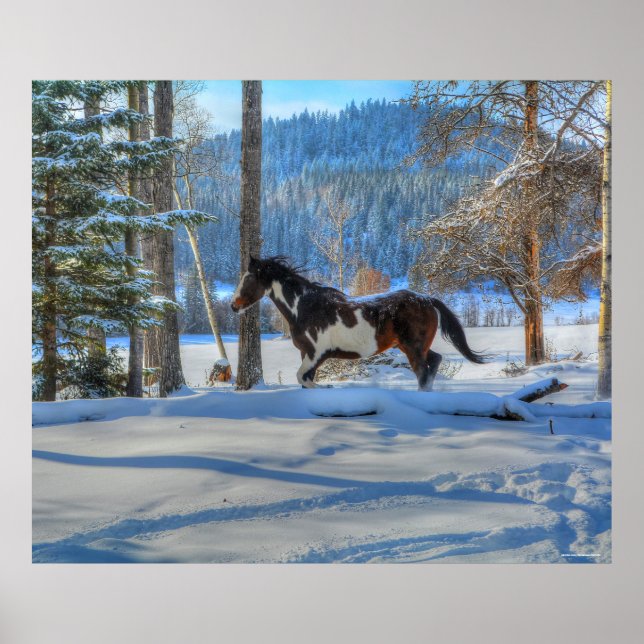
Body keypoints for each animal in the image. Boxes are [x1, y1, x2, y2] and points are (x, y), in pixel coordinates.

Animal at [231, 256, 489, 390]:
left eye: (248, 279)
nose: (234, 305)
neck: (304, 307)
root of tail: (427, 299)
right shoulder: (305, 354)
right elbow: (305, 380)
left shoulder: (316, 354)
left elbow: (303, 378)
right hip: (411, 346)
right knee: (434, 361)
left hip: (413, 348)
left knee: (423, 373)